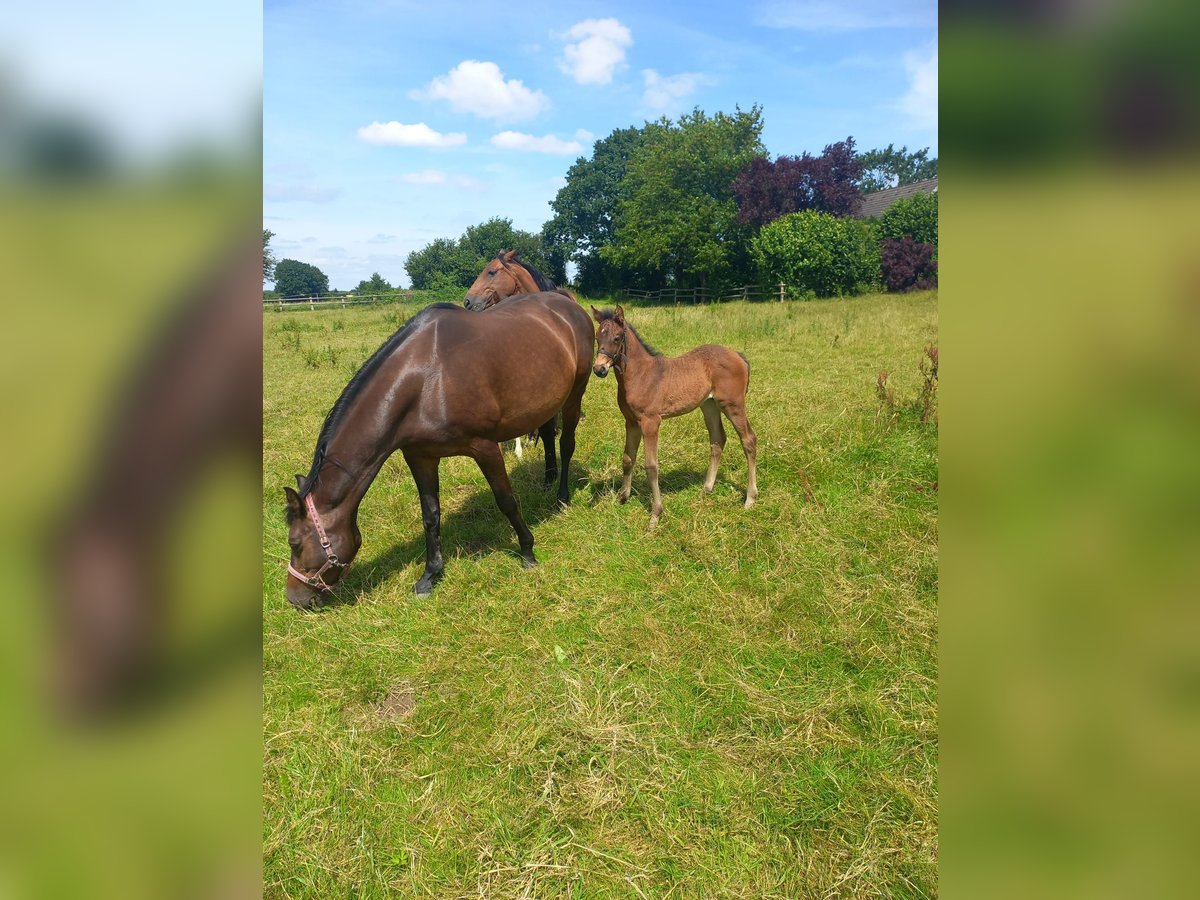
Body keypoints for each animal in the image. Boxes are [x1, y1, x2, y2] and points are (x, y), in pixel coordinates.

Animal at [285, 292, 595, 609]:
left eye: (294, 543)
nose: (295, 599)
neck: (425, 381)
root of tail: (568, 303)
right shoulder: (420, 457)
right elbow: (430, 516)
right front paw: (430, 575)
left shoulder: (485, 448)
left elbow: (506, 501)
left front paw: (527, 552)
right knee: (546, 435)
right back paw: (547, 480)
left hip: (575, 392)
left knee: (566, 444)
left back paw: (561, 497)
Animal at [590, 304, 758, 528]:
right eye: (597, 337)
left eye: (617, 338)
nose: (599, 368)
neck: (641, 375)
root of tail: (738, 355)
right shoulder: (631, 422)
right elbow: (627, 458)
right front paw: (623, 498)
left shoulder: (651, 422)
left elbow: (651, 466)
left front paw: (655, 516)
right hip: (709, 405)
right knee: (717, 440)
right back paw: (706, 489)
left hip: (733, 405)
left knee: (748, 440)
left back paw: (750, 498)